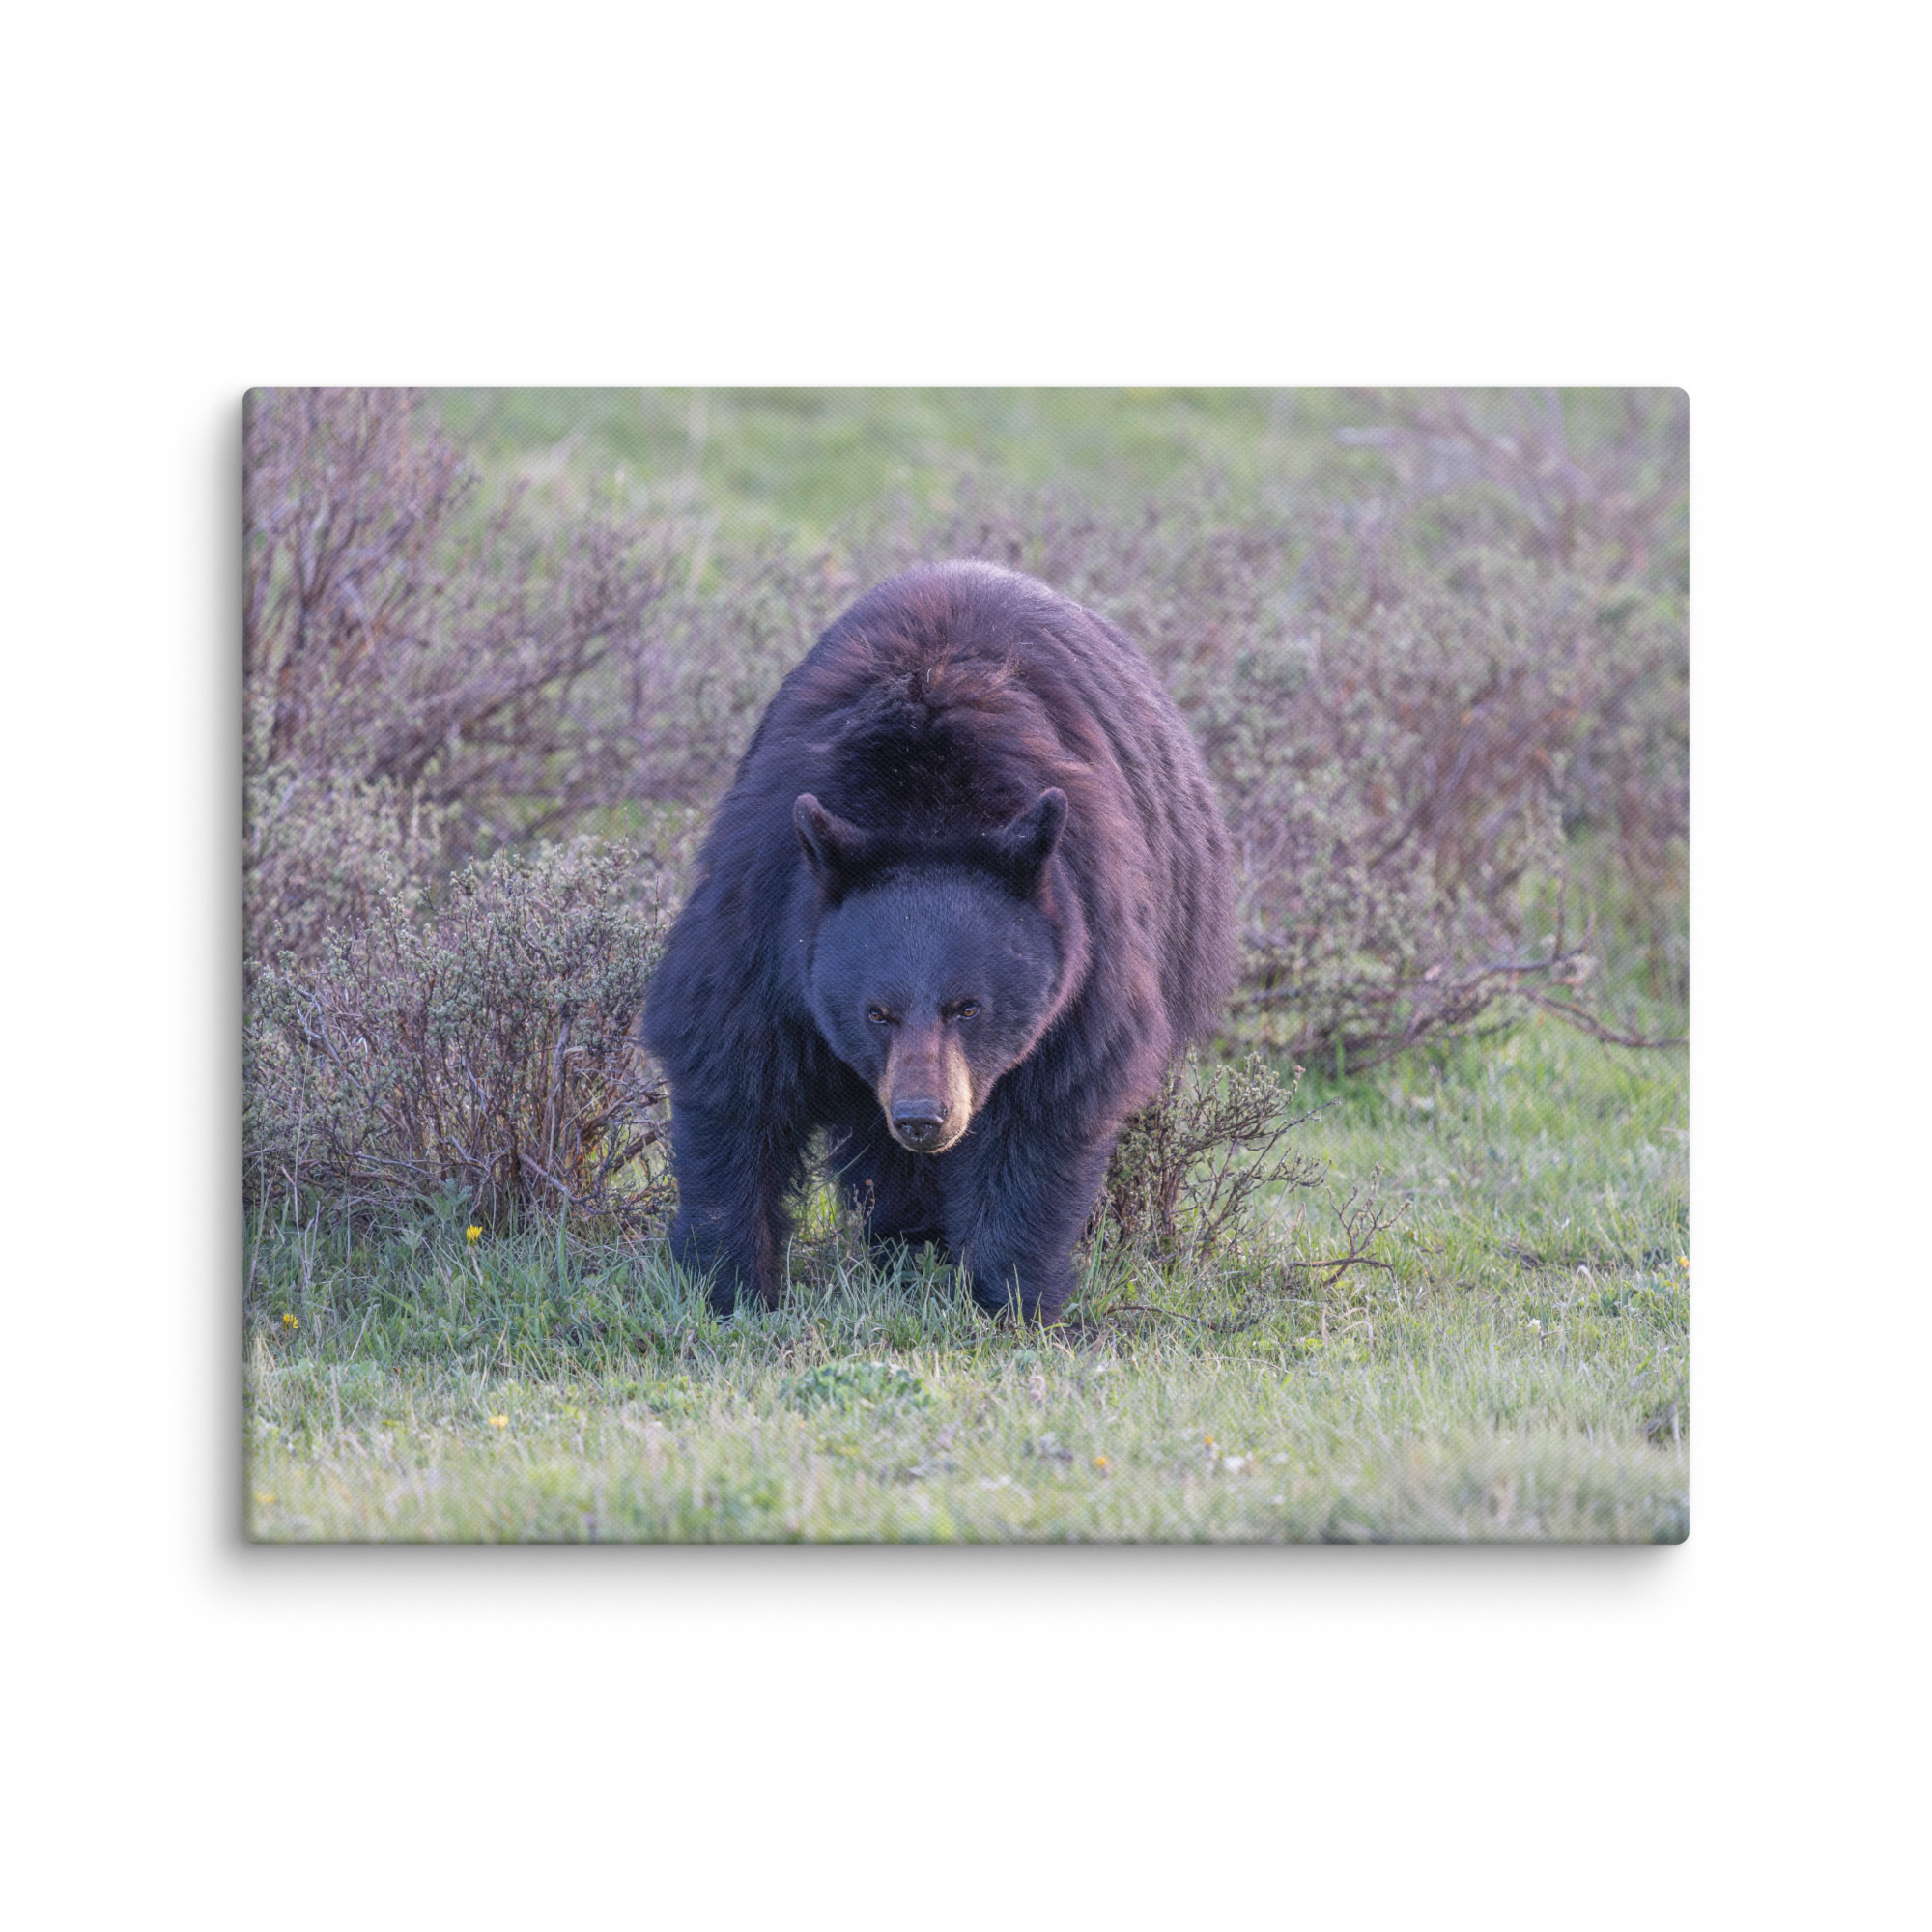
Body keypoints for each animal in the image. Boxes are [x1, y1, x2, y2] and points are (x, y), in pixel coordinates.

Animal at [642, 560, 1236, 1322]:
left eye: (969, 1006)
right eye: (876, 1012)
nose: (924, 1118)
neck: (925, 805)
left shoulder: (1088, 939)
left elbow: (1047, 1108)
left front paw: (1012, 1297)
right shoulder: (767, 910)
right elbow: (732, 1070)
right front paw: (730, 1284)